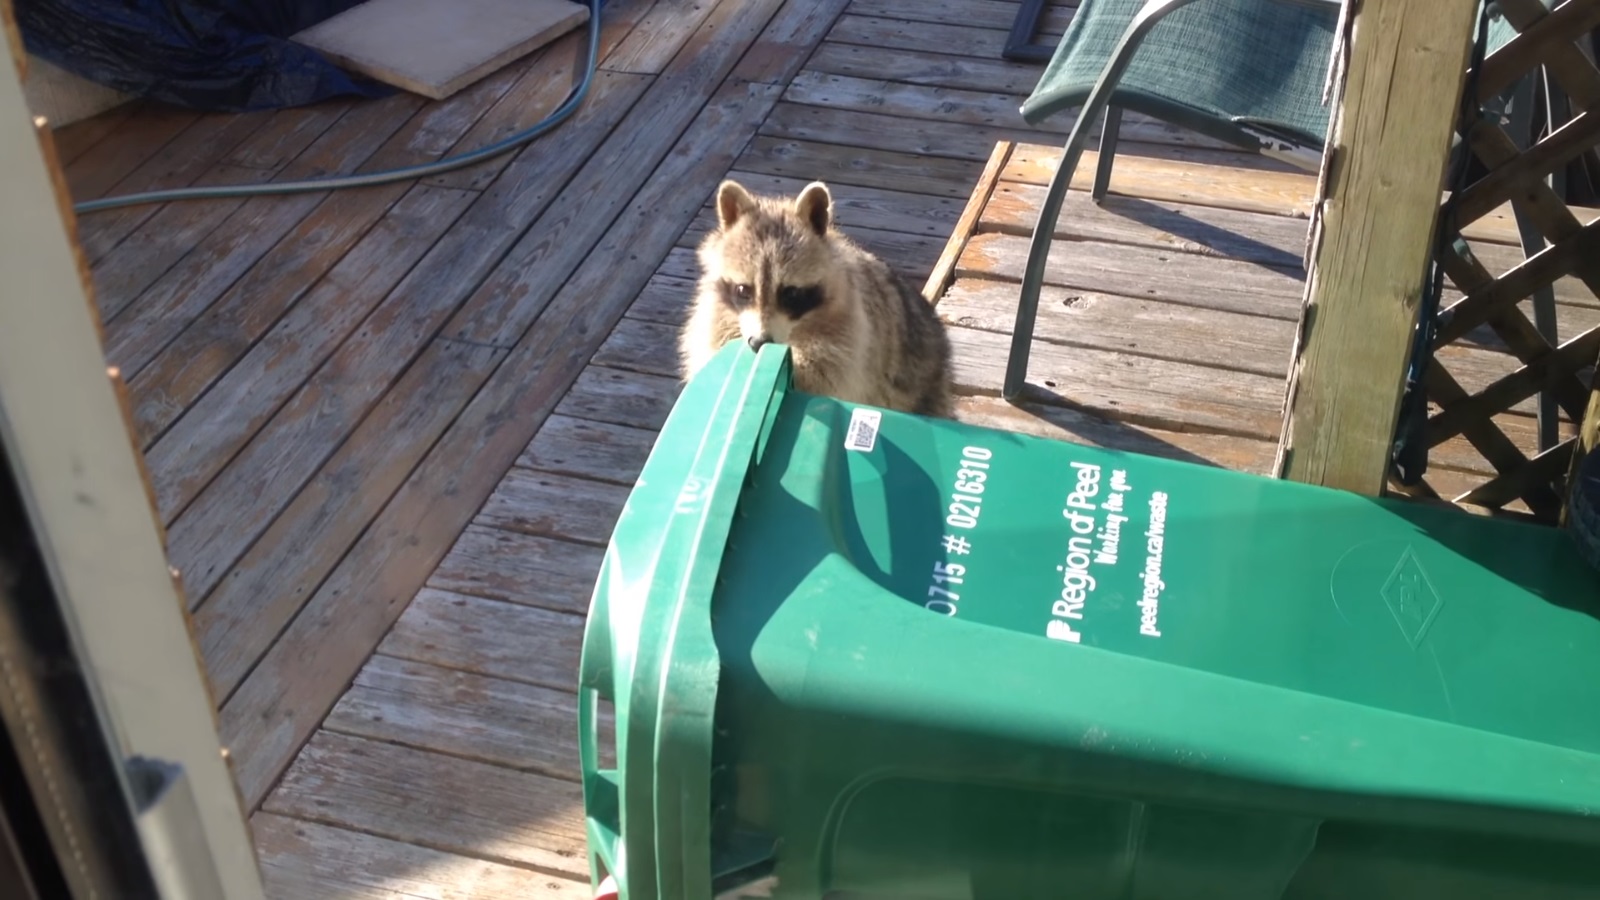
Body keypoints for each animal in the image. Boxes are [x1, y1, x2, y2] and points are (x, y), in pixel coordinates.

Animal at [675, 177, 947, 416]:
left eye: (790, 293)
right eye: (743, 290)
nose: (758, 342)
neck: (797, 328)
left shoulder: (852, 327)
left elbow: (826, 375)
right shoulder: (718, 314)